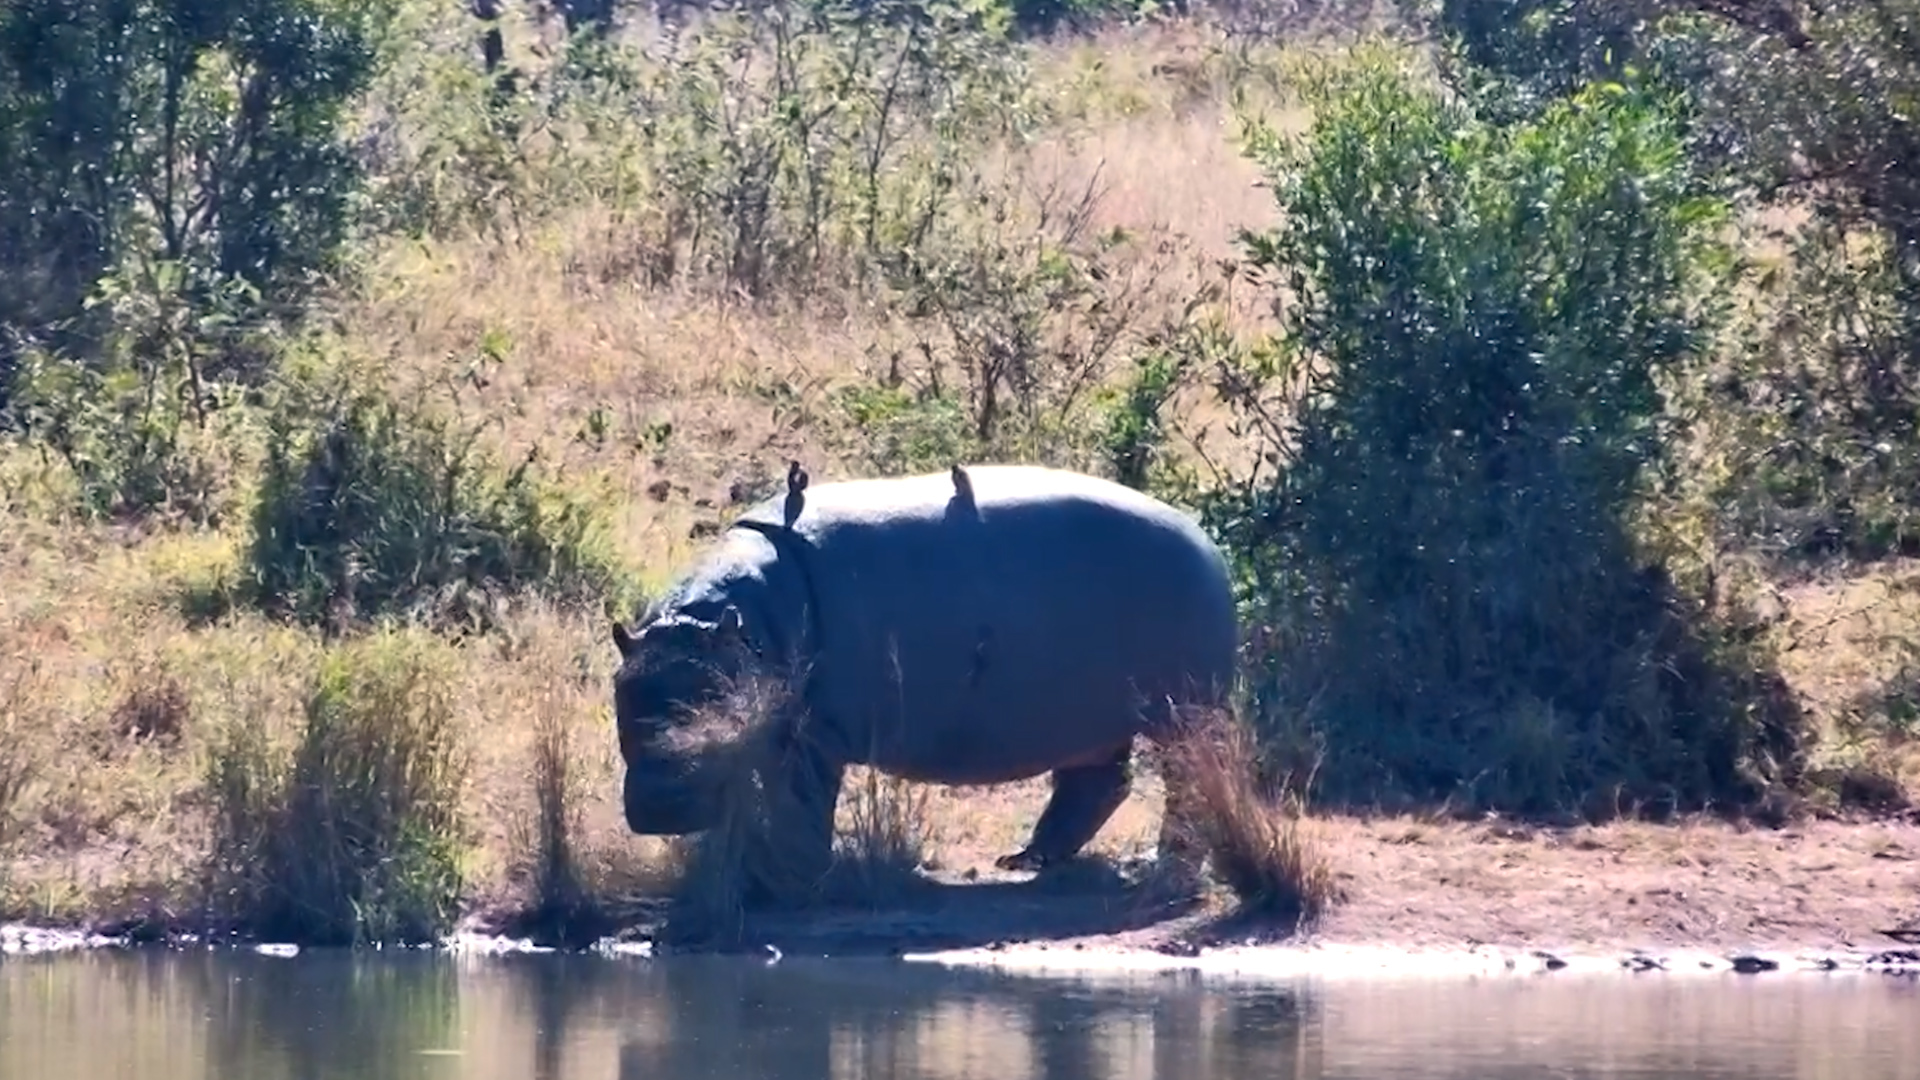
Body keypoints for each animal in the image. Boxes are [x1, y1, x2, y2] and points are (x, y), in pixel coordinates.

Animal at [609, 461, 1241, 888]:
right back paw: (1026, 860)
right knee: (1097, 784)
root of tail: (1207, 542)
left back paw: (1164, 867)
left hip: (1184, 712)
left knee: (1186, 784)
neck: (732, 625)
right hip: (1092, 719)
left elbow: (803, 803)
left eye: (710, 695)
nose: (660, 805)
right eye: (624, 687)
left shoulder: (815, 734)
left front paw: (793, 873)